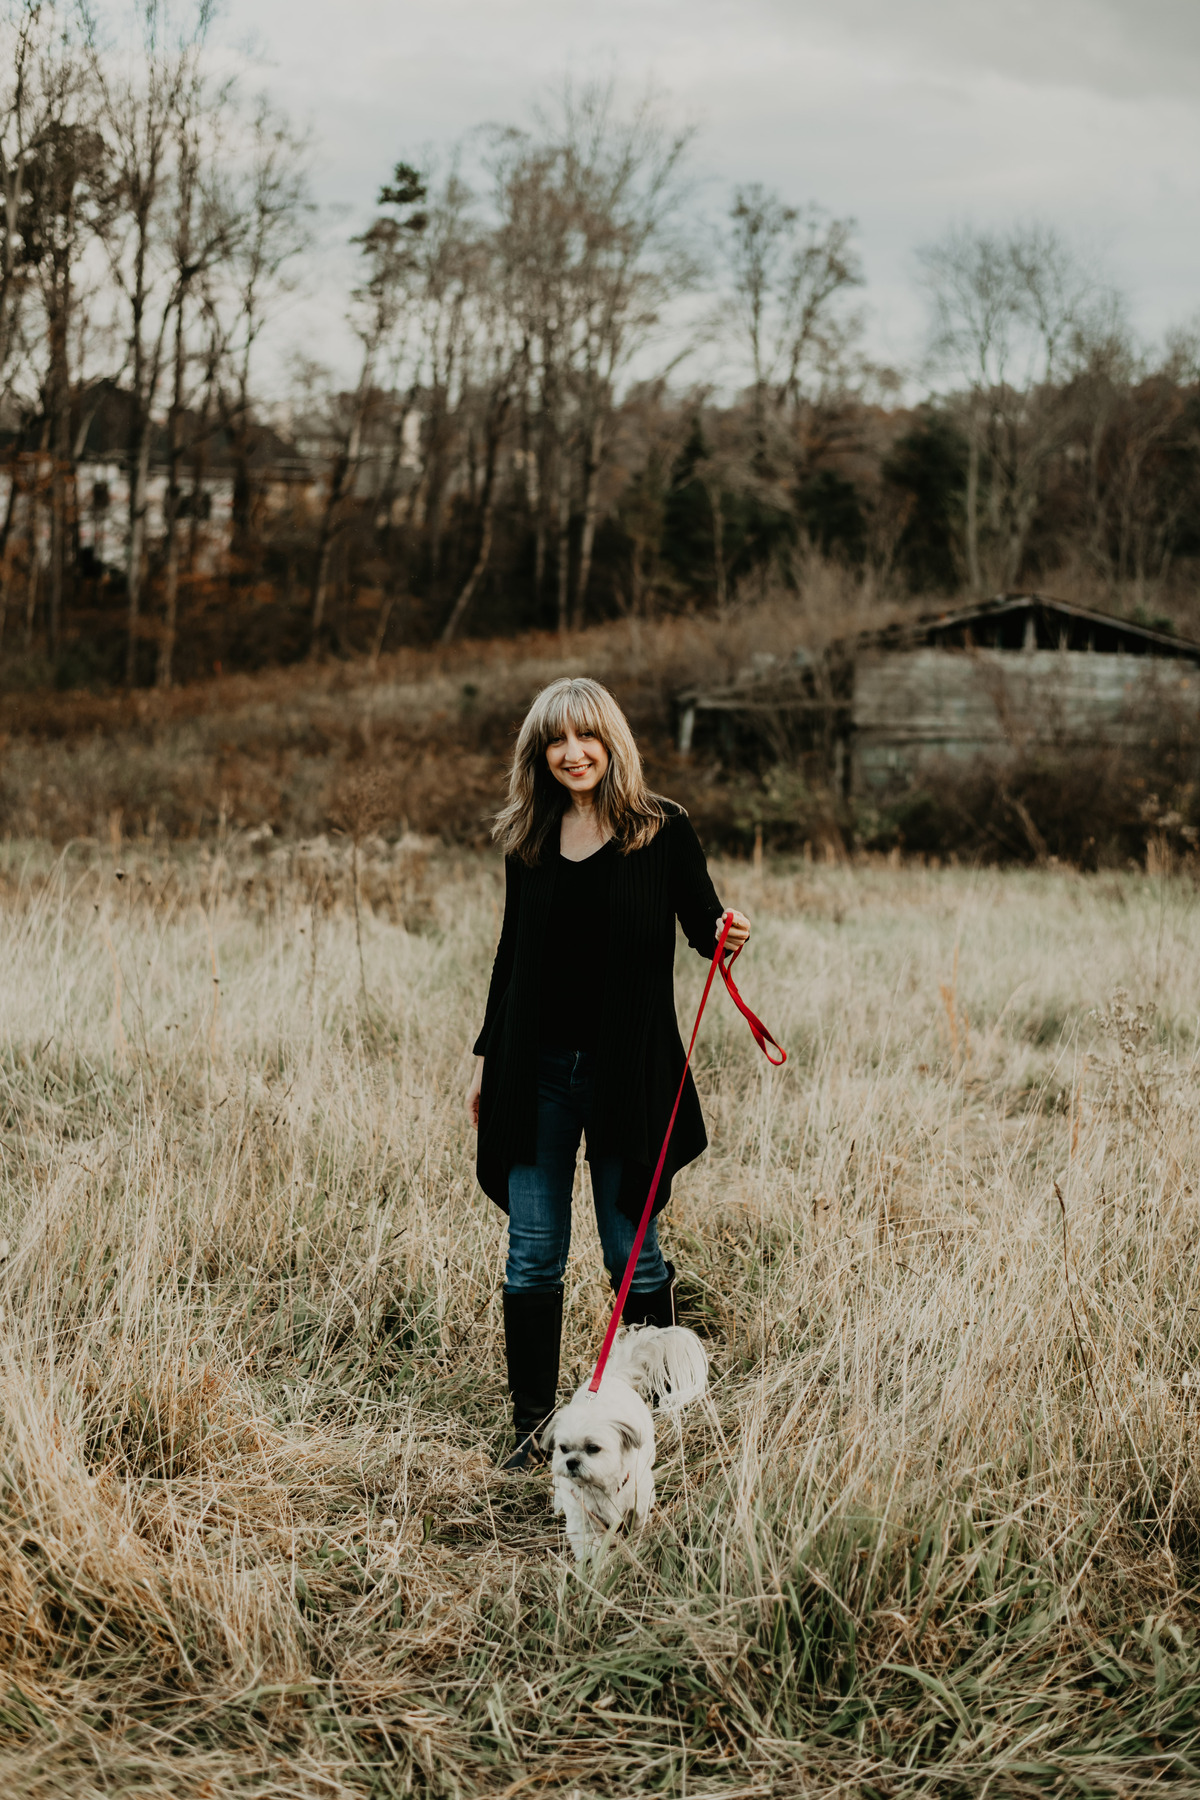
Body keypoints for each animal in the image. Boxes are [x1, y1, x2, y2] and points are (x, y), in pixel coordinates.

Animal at [543, 1324, 705, 1562]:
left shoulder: (640, 1505)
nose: (571, 1462)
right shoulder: (583, 1522)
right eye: (563, 1448)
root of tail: (611, 1377)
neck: (601, 1489)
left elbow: (636, 1523)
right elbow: (588, 1547)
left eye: (593, 1448)